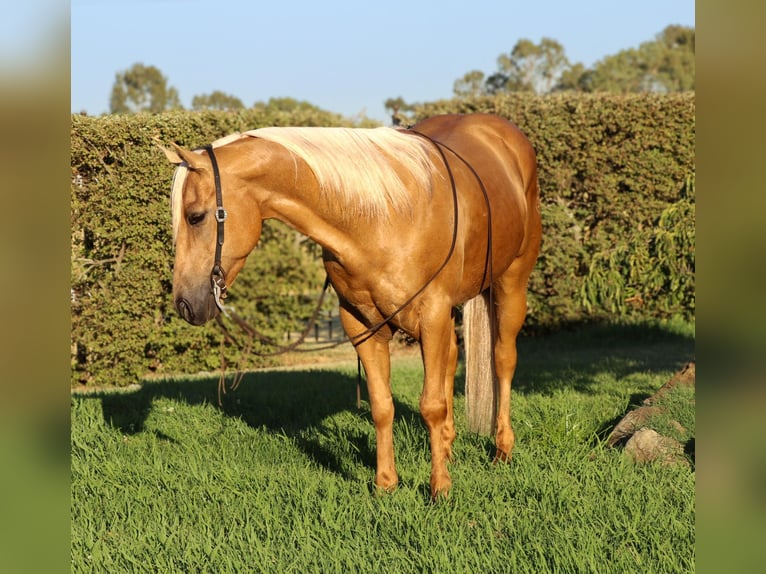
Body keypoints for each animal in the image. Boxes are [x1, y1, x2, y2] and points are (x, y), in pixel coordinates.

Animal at [159, 113, 541, 497]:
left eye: (196, 216)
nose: (185, 304)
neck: (381, 216)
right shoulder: (362, 324)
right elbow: (382, 405)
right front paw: (386, 484)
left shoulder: (431, 314)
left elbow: (431, 405)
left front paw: (440, 489)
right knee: (449, 359)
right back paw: (448, 446)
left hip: (510, 285)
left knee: (502, 360)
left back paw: (502, 449)